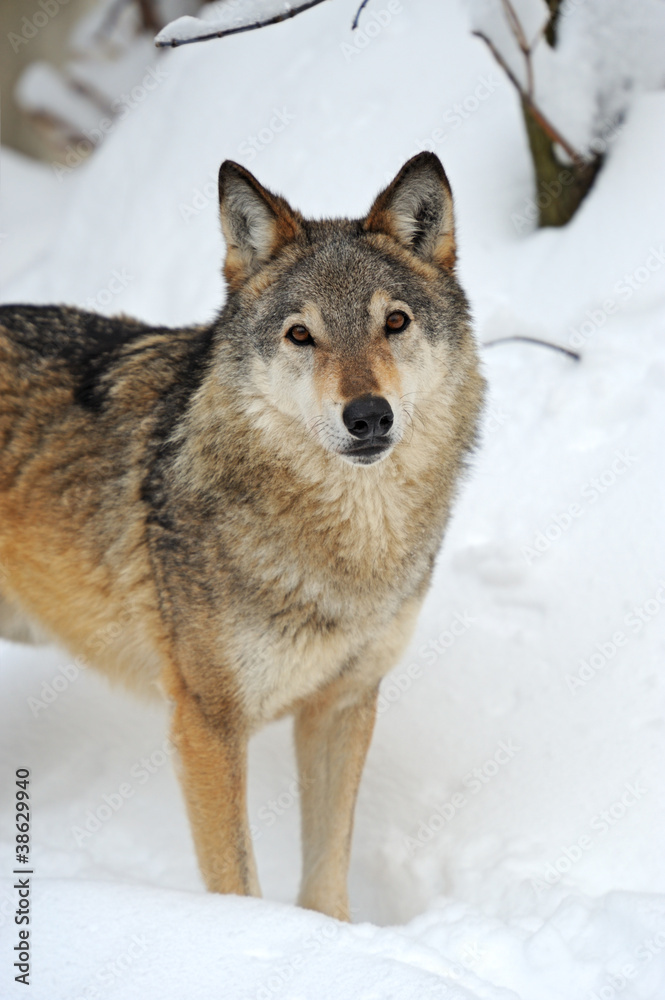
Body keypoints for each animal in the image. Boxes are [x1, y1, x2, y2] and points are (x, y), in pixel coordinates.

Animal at [0, 152, 485, 920]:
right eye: (300, 335)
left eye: (395, 322)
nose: (368, 416)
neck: (344, 550)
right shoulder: (207, 722)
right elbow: (236, 880)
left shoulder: (341, 706)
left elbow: (325, 877)